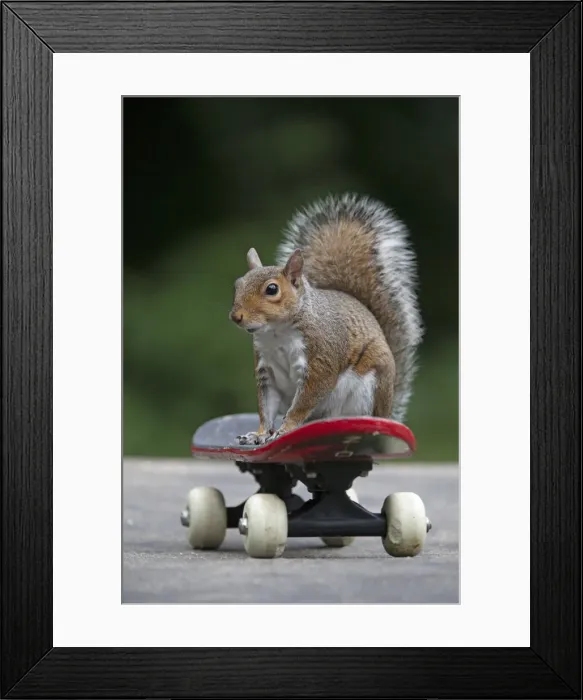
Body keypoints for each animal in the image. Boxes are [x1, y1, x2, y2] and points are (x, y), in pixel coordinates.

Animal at [229, 192, 423, 445]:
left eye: (272, 289)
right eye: (238, 284)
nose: (236, 316)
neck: (277, 333)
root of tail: (387, 411)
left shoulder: (322, 357)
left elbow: (305, 401)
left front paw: (286, 428)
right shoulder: (266, 371)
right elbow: (266, 407)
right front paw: (260, 434)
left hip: (367, 390)